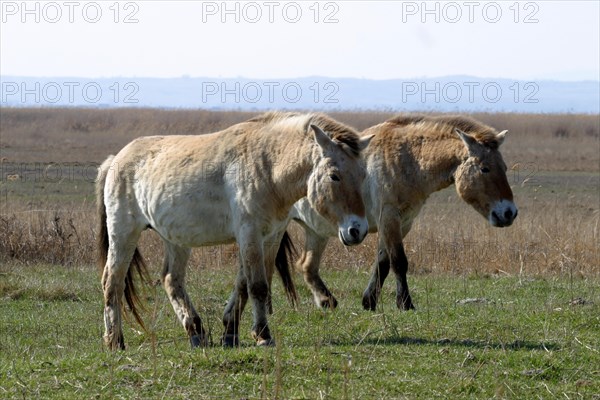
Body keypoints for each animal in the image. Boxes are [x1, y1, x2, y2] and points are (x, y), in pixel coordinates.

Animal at [96, 111, 372, 348]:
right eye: (334, 176)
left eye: (362, 176)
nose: (357, 230)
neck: (267, 164)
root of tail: (114, 160)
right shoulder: (250, 234)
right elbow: (257, 285)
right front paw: (263, 335)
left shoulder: (268, 237)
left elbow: (244, 285)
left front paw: (230, 333)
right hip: (124, 232)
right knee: (112, 281)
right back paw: (115, 341)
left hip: (175, 239)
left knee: (171, 280)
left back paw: (196, 333)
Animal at [278, 114, 516, 310]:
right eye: (485, 169)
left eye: (504, 168)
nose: (509, 213)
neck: (406, 159)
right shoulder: (389, 218)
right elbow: (399, 261)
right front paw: (405, 303)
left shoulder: (403, 222)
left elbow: (383, 262)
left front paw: (369, 301)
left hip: (315, 232)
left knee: (306, 266)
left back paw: (326, 301)